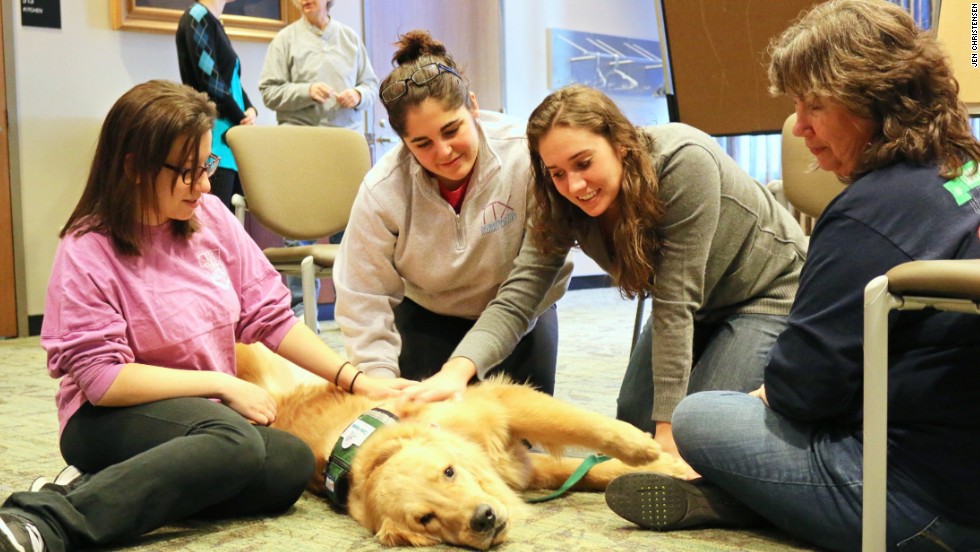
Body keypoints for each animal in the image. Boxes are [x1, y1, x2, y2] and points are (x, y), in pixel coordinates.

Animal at [234, 342, 684, 548]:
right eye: (426, 519)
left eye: (448, 472)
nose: (484, 519)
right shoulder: (518, 466)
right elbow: (590, 471)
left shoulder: (500, 405)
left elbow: (586, 430)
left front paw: (653, 452)